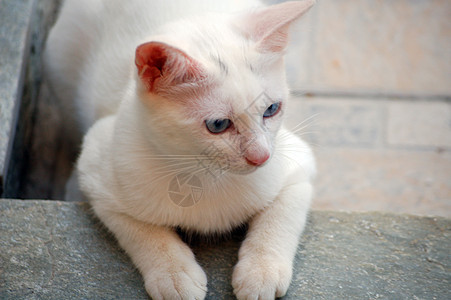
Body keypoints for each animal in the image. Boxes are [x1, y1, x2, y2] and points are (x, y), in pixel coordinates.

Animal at [45, 0, 314, 298]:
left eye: (272, 109)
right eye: (218, 124)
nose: (261, 157)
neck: (206, 174)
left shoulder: (296, 163)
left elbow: (282, 214)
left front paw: (261, 271)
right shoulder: (98, 167)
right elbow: (140, 228)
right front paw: (173, 274)